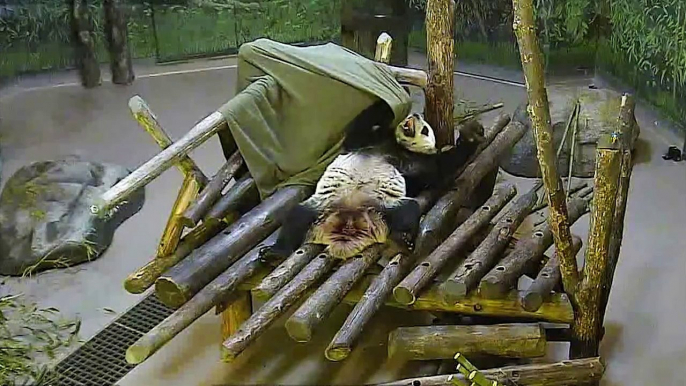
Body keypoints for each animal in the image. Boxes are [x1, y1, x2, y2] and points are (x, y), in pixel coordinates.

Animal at [260, 99, 486, 262]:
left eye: (425, 130)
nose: (415, 115)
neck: (397, 146)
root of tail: (349, 223)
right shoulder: (369, 141)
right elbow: (359, 129)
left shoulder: (417, 163)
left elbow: (440, 169)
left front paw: (471, 135)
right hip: (322, 208)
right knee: (296, 217)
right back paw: (275, 252)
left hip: (383, 208)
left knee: (408, 211)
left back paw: (403, 240)